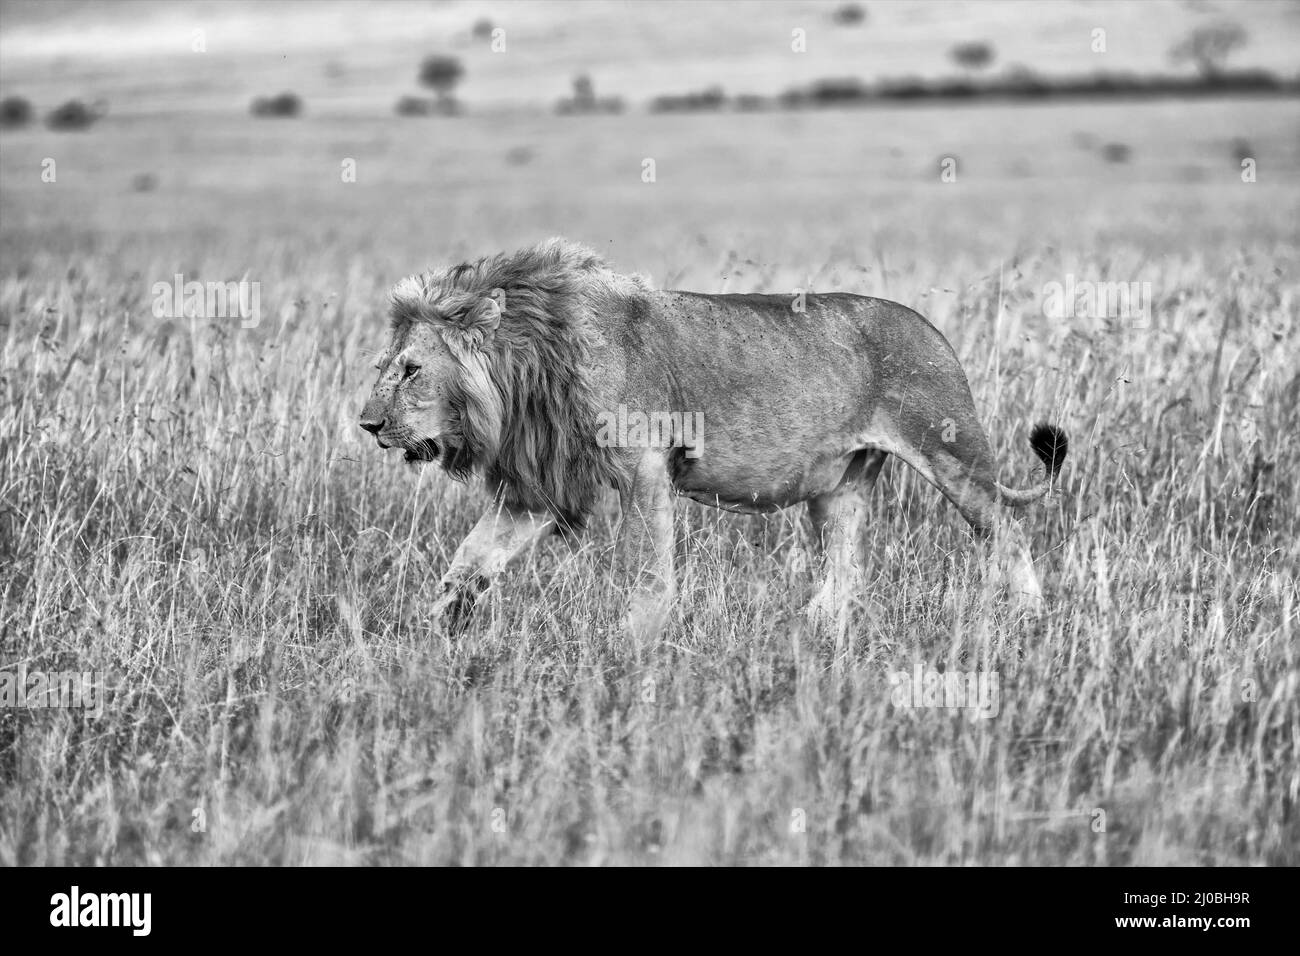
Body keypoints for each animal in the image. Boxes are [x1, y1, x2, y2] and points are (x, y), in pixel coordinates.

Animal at [360, 238, 1068, 638]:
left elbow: (650, 570)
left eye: (412, 369)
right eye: (384, 366)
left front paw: (636, 644)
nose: (368, 424)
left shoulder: (645, 470)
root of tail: (932, 328)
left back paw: (1030, 618)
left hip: (953, 454)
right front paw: (428, 633)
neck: (532, 365)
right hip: (839, 486)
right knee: (847, 570)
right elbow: (469, 559)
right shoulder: (539, 491)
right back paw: (809, 631)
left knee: (1006, 530)